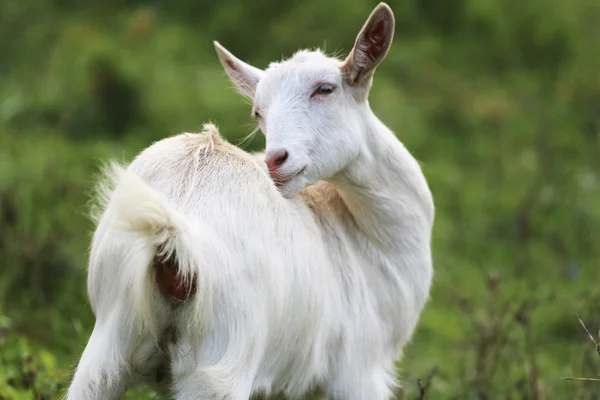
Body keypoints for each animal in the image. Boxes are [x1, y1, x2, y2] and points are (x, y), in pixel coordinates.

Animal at [65, 3, 434, 400]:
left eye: (325, 89)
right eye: (259, 111)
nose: (275, 160)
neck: (364, 239)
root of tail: (173, 235)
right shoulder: (359, 370)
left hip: (110, 333)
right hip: (224, 355)